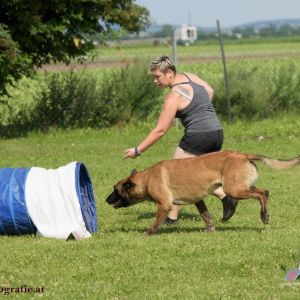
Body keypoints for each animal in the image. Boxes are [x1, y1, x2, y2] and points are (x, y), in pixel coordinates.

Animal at [106, 150, 300, 234]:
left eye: (115, 190)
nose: (106, 200)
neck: (146, 179)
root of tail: (242, 155)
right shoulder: (198, 200)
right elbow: (206, 216)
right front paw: (211, 230)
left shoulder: (164, 205)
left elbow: (155, 223)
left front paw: (147, 233)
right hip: (236, 188)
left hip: (234, 189)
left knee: (263, 193)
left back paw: (264, 216)